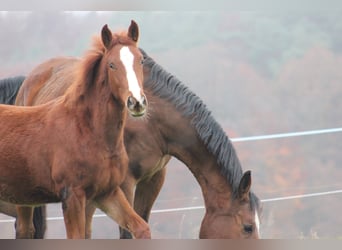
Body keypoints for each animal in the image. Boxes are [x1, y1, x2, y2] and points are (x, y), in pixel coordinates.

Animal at [0, 21, 151, 238]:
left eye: (141, 60)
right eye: (111, 65)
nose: (137, 102)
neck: (87, 131)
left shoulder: (108, 192)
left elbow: (141, 228)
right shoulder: (72, 196)